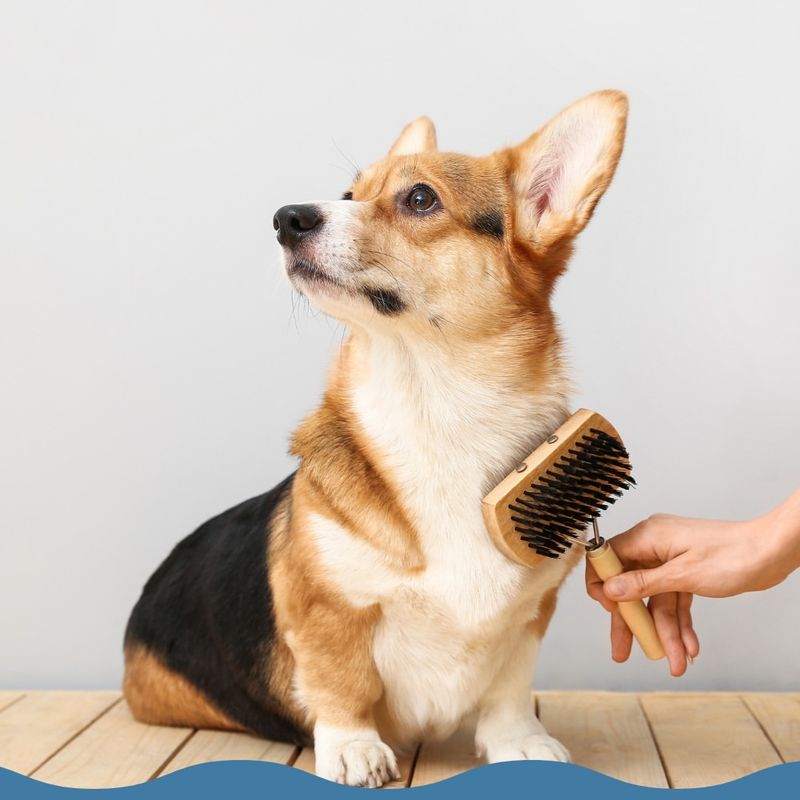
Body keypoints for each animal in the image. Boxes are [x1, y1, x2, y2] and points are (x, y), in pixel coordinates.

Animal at [122, 90, 628, 784]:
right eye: (348, 192)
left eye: (420, 198)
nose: (285, 217)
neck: (436, 410)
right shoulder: (327, 609)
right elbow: (343, 684)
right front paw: (354, 751)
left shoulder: (530, 616)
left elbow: (508, 689)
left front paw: (520, 742)